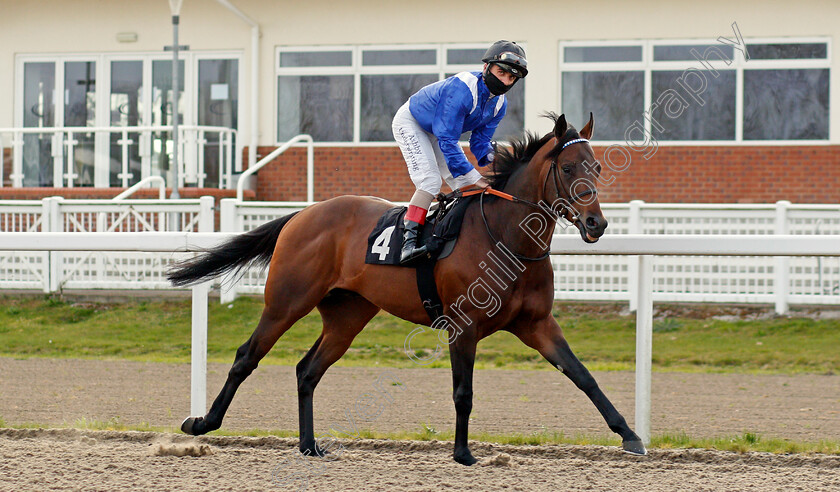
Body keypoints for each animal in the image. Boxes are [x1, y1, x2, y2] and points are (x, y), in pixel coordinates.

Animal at [167, 113, 648, 464]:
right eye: (567, 168)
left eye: (597, 167)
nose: (596, 223)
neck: (507, 238)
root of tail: (302, 213)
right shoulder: (463, 326)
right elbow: (463, 392)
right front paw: (463, 453)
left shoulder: (538, 324)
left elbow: (583, 376)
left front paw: (630, 435)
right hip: (286, 301)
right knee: (247, 356)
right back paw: (202, 424)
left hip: (348, 315)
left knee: (308, 369)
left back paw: (309, 445)